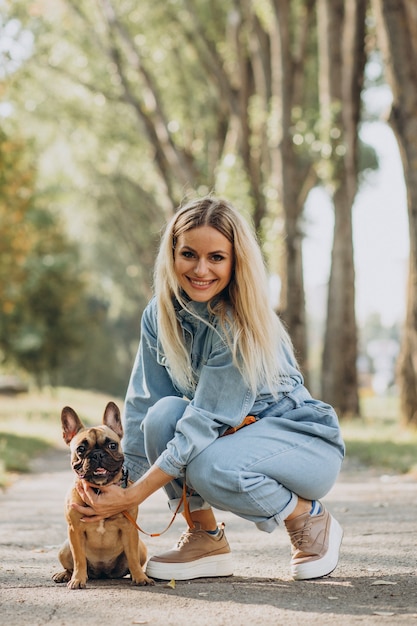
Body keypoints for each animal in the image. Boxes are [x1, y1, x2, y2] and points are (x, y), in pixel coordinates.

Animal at [51, 402, 153, 588]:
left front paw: (140, 577)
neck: (99, 489)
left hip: (141, 547)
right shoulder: (74, 530)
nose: (97, 454)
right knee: (71, 565)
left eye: (112, 445)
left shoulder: (129, 529)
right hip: (64, 548)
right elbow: (79, 560)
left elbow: (133, 558)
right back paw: (65, 575)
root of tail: (103, 573)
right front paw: (78, 579)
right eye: (81, 449)